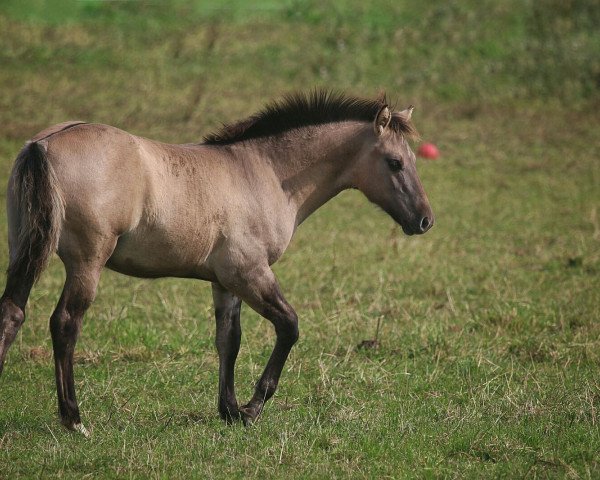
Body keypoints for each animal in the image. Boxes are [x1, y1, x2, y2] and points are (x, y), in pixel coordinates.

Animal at [0, 90, 434, 436]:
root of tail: (42, 145)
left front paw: (229, 410)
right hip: (87, 262)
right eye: (395, 162)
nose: (425, 220)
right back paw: (74, 420)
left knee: (12, 313)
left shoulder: (225, 281)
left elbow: (229, 339)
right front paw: (252, 408)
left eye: (414, 160)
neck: (264, 172)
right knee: (65, 324)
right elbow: (289, 326)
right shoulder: (249, 272)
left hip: (25, 250)